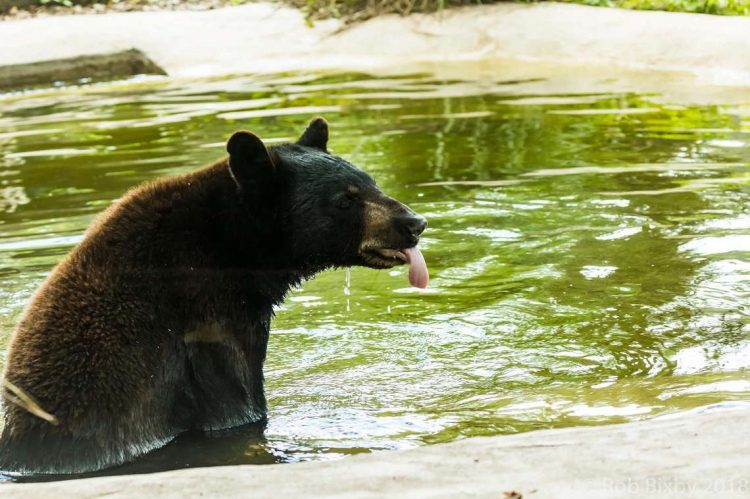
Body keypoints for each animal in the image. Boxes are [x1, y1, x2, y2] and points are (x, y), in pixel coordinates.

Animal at [0, 119, 428, 474]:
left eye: (371, 182)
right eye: (345, 199)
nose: (414, 222)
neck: (233, 248)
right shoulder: (210, 325)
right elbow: (237, 403)